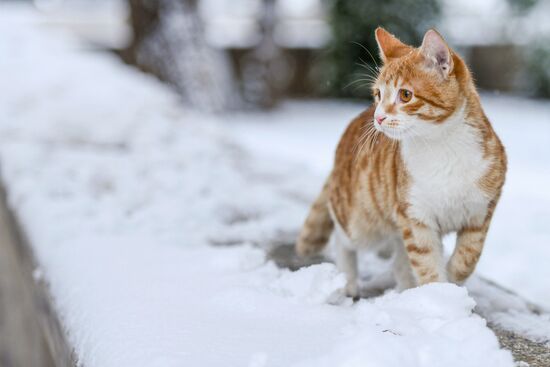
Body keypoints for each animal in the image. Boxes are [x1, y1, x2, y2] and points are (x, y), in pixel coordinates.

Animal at [298, 27, 508, 298]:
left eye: (405, 95)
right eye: (378, 94)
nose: (378, 117)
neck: (442, 146)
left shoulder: (481, 212)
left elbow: (468, 257)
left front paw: (452, 279)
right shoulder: (416, 216)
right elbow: (427, 263)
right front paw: (440, 294)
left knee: (400, 259)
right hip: (361, 221)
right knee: (343, 239)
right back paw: (347, 280)